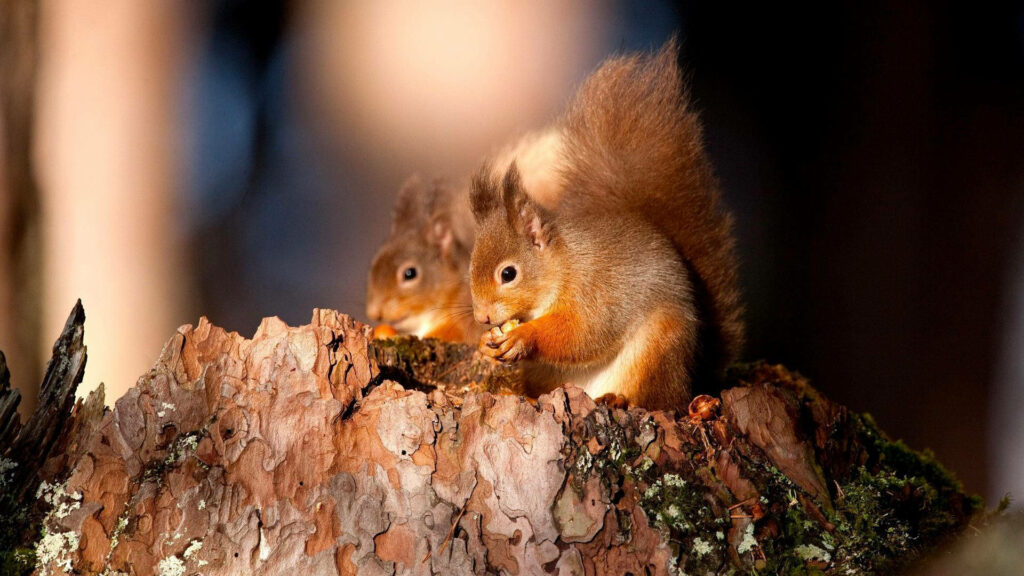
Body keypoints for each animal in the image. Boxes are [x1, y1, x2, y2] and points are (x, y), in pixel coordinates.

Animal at [468, 40, 743, 410]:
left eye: (508, 274)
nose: (482, 317)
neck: (565, 264)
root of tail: (692, 376)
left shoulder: (597, 291)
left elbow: (582, 333)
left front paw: (524, 336)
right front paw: (485, 344)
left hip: (659, 349)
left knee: (660, 400)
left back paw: (621, 399)